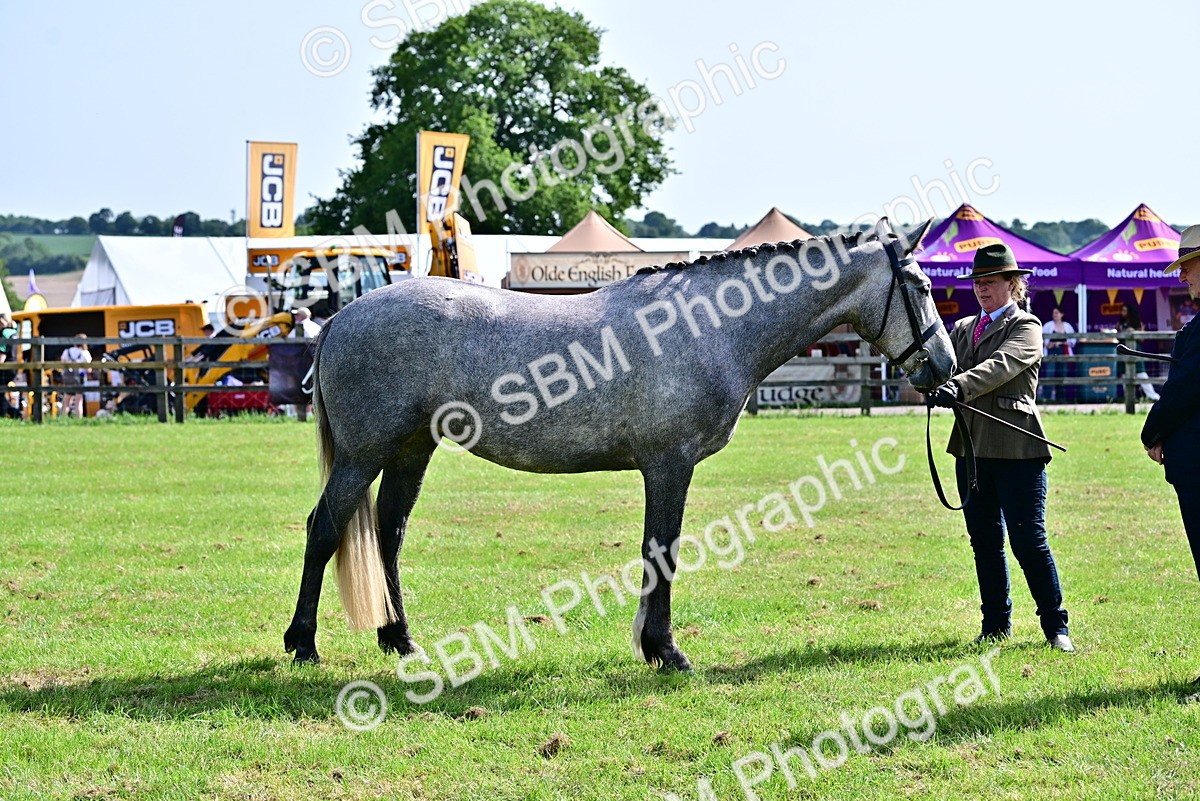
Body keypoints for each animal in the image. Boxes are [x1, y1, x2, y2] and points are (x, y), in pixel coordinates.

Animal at [284, 217, 955, 671]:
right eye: (922, 287)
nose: (943, 369)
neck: (708, 324)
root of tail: (339, 319)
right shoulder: (669, 464)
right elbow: (664, 550)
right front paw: (665, 650)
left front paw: (655, 646)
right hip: (363, 455)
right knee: (325, 528)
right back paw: (303, 643)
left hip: (409, 452)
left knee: (389, 534)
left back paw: (400, 639)